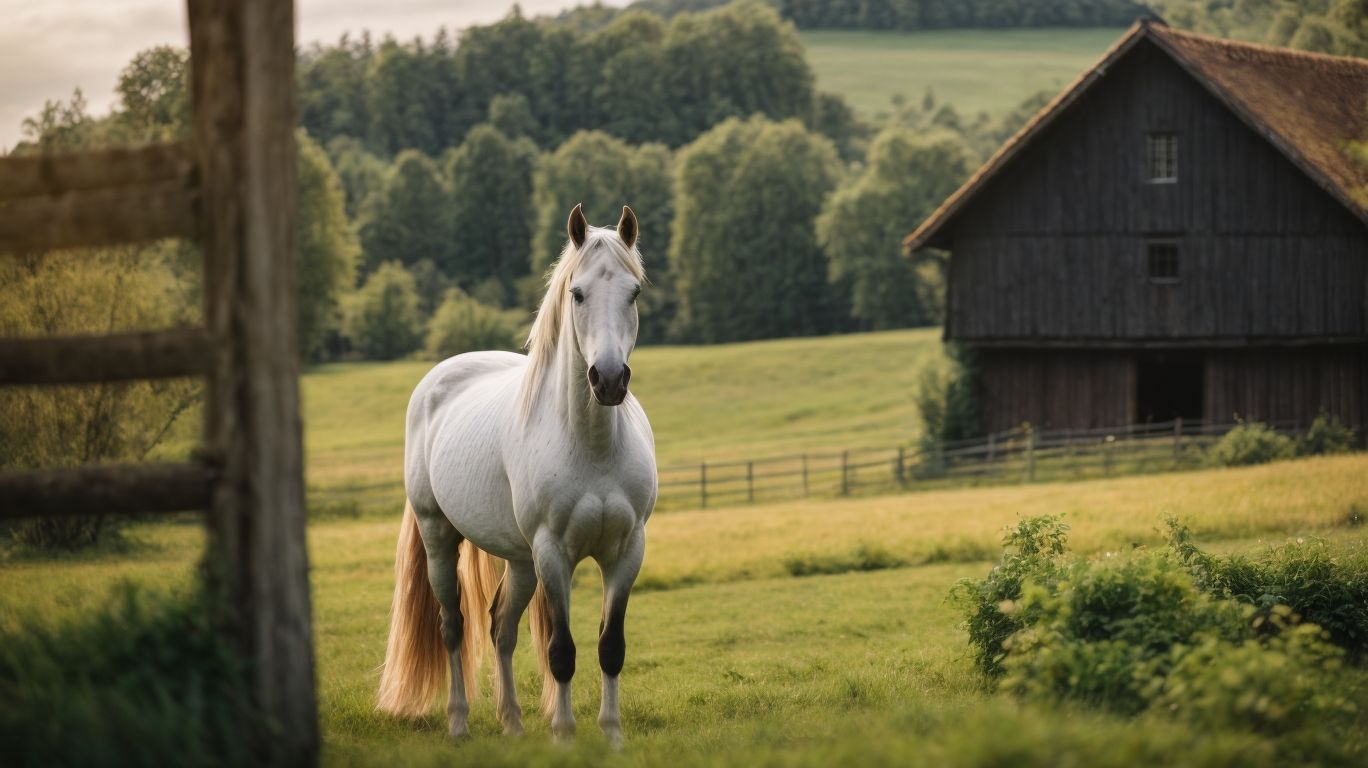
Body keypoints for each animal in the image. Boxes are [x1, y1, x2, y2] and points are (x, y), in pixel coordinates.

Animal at [376, 204, 657, 747]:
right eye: (577, 293)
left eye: (633, 293)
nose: (610, 380)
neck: (591, 448)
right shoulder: (553, 552)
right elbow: (562, 650)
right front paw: (565, 737)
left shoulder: (625, 551)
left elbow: (610, 646)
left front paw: (612, 735)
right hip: (441, 538)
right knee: (453, 625)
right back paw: (459, 723)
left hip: (521, 560)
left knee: (499, 628)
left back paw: (512, 722)